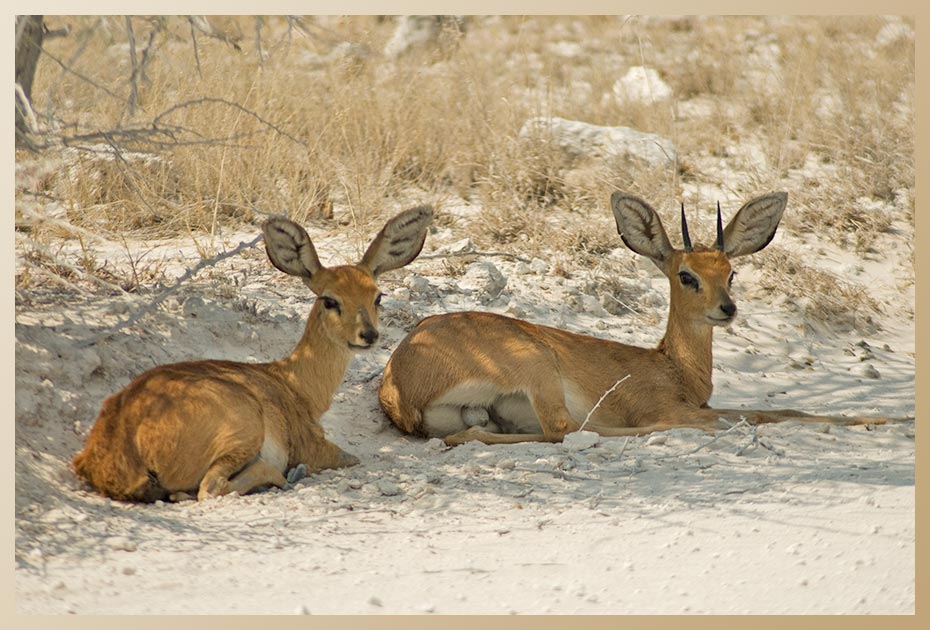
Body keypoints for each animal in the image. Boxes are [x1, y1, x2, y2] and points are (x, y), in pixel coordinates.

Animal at [74, 207, 434, 504]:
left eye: (377, 296)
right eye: (330, 299)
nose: (368, 335)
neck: (294, 384)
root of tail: (121, 452)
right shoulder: (318, 447)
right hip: (241, 433)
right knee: (212, 488)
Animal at [376, 191, 900, 444]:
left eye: (731, 272)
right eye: (686, 275)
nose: (727, 309)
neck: (673, 368)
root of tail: (398, 382)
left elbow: (782, 409)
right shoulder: (673, 406)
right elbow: (762, 413)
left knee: (478, 434)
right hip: (537, 366)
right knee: (566, 430)